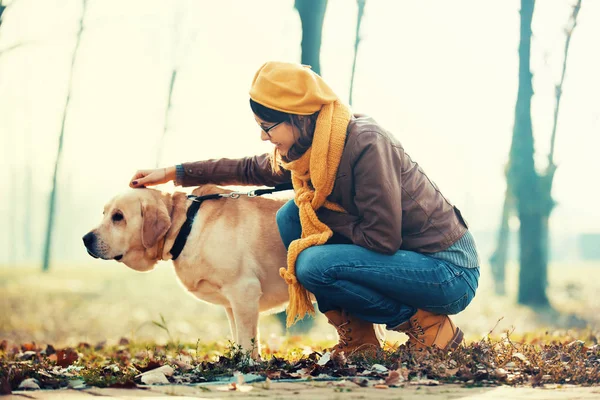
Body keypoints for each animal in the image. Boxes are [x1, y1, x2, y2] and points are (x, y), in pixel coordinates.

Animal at [82, 186, 296, 358]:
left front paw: (246, 365)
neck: (185, 227)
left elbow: (246, 339)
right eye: (104, 213)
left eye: (118, 216)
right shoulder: (233, 303)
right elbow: (238, 335)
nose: (85, 239)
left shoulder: (244, 291)